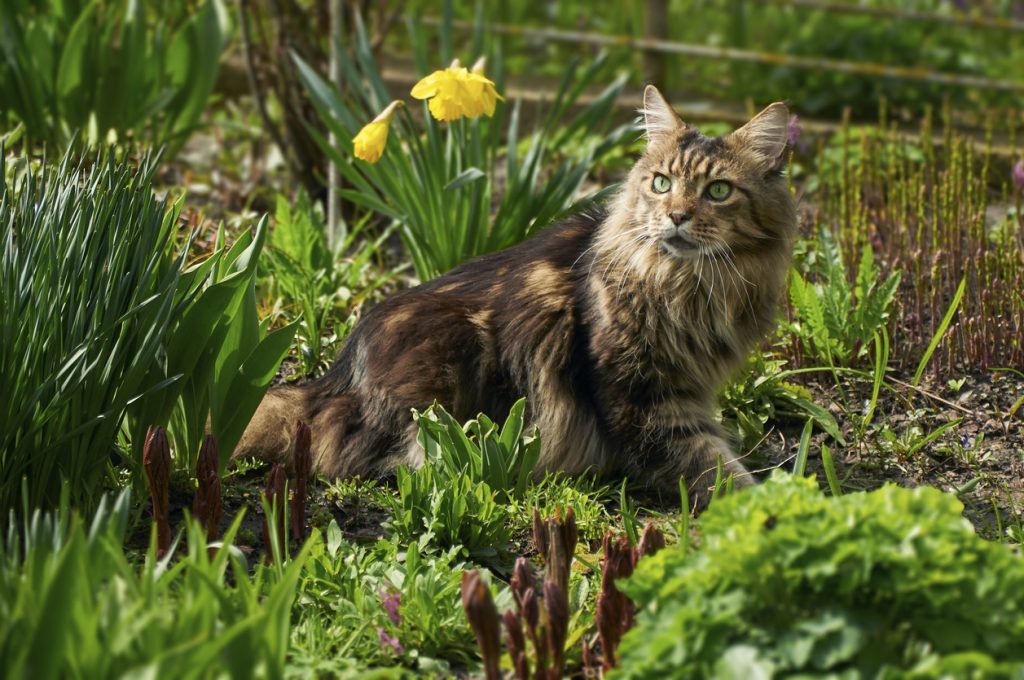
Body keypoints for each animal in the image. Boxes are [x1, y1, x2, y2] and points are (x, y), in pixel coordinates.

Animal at [235, 85, 794, 507]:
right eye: (661, 183)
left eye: (718, 191)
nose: (675, 216)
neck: (687, 285)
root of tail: (333, 379)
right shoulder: (645, 400)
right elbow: (715, 468)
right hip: (452, 359)